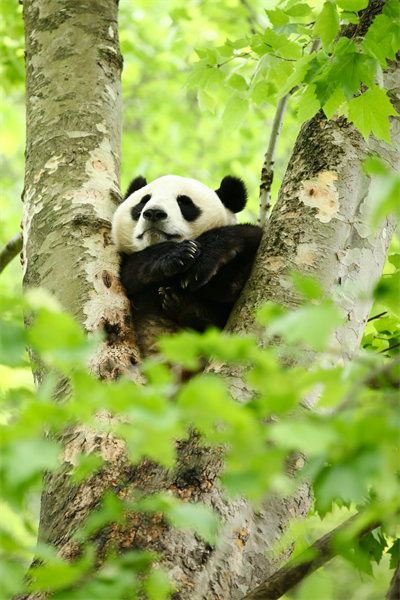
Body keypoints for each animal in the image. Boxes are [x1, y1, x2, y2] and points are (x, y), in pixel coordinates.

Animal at [112, 173, 262, 354]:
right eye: (144, 200)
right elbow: (131, 272)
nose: (154, 213)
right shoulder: (129, 266)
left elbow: (249, 237)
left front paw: (202, 268)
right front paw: (178, 256)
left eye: (184, 202)